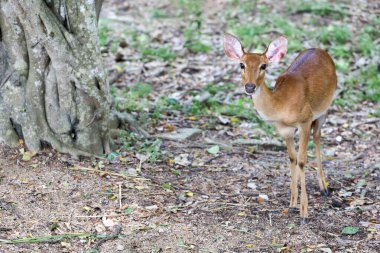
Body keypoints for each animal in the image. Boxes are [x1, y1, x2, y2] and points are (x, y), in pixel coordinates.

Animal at [224, 33, 336, 223]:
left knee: (318, 137)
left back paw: (324, 188)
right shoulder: (285, 130)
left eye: (263, 65)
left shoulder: (305, 121)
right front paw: (292, 204)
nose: (250, 86)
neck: (282, 104)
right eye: (241, 64)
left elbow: (302, 160)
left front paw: (304, 213)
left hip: (324, 109)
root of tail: (321, 50)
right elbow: (292, 158)